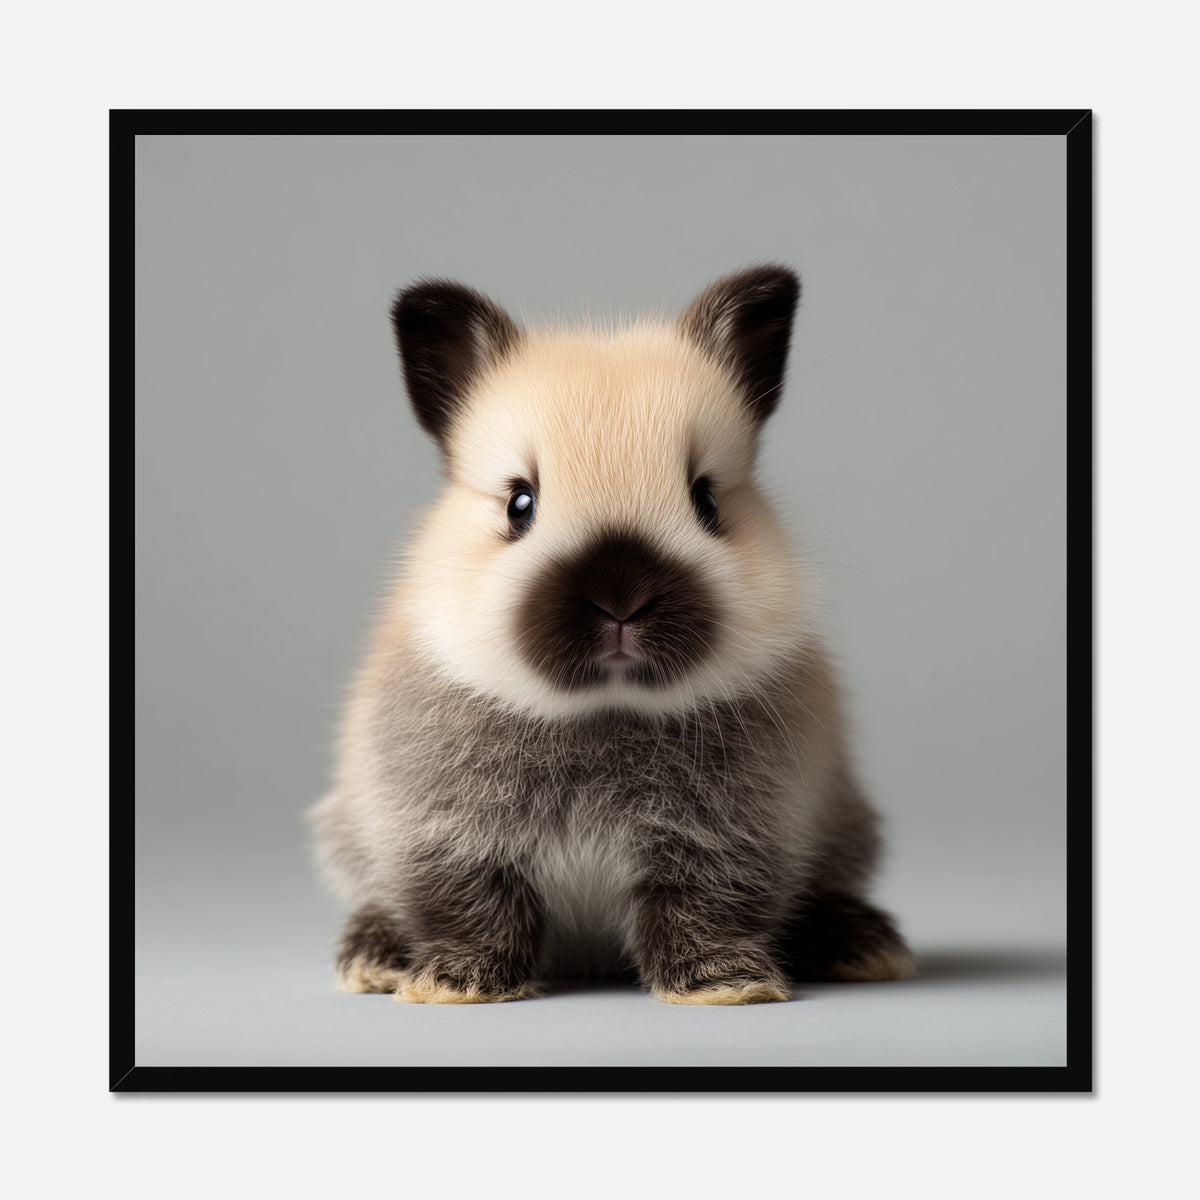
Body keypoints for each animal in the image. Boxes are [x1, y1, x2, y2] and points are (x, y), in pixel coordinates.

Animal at [310, 265, 914, 1004]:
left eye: (707, 500)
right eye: (519, 504)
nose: (620, 596)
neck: (605, 712)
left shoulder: (729, 839)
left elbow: (702, 906)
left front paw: (723, 985)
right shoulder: (444, 834)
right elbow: (471, 907)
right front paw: (456, 983)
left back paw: (865, 945)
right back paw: (373, 958)